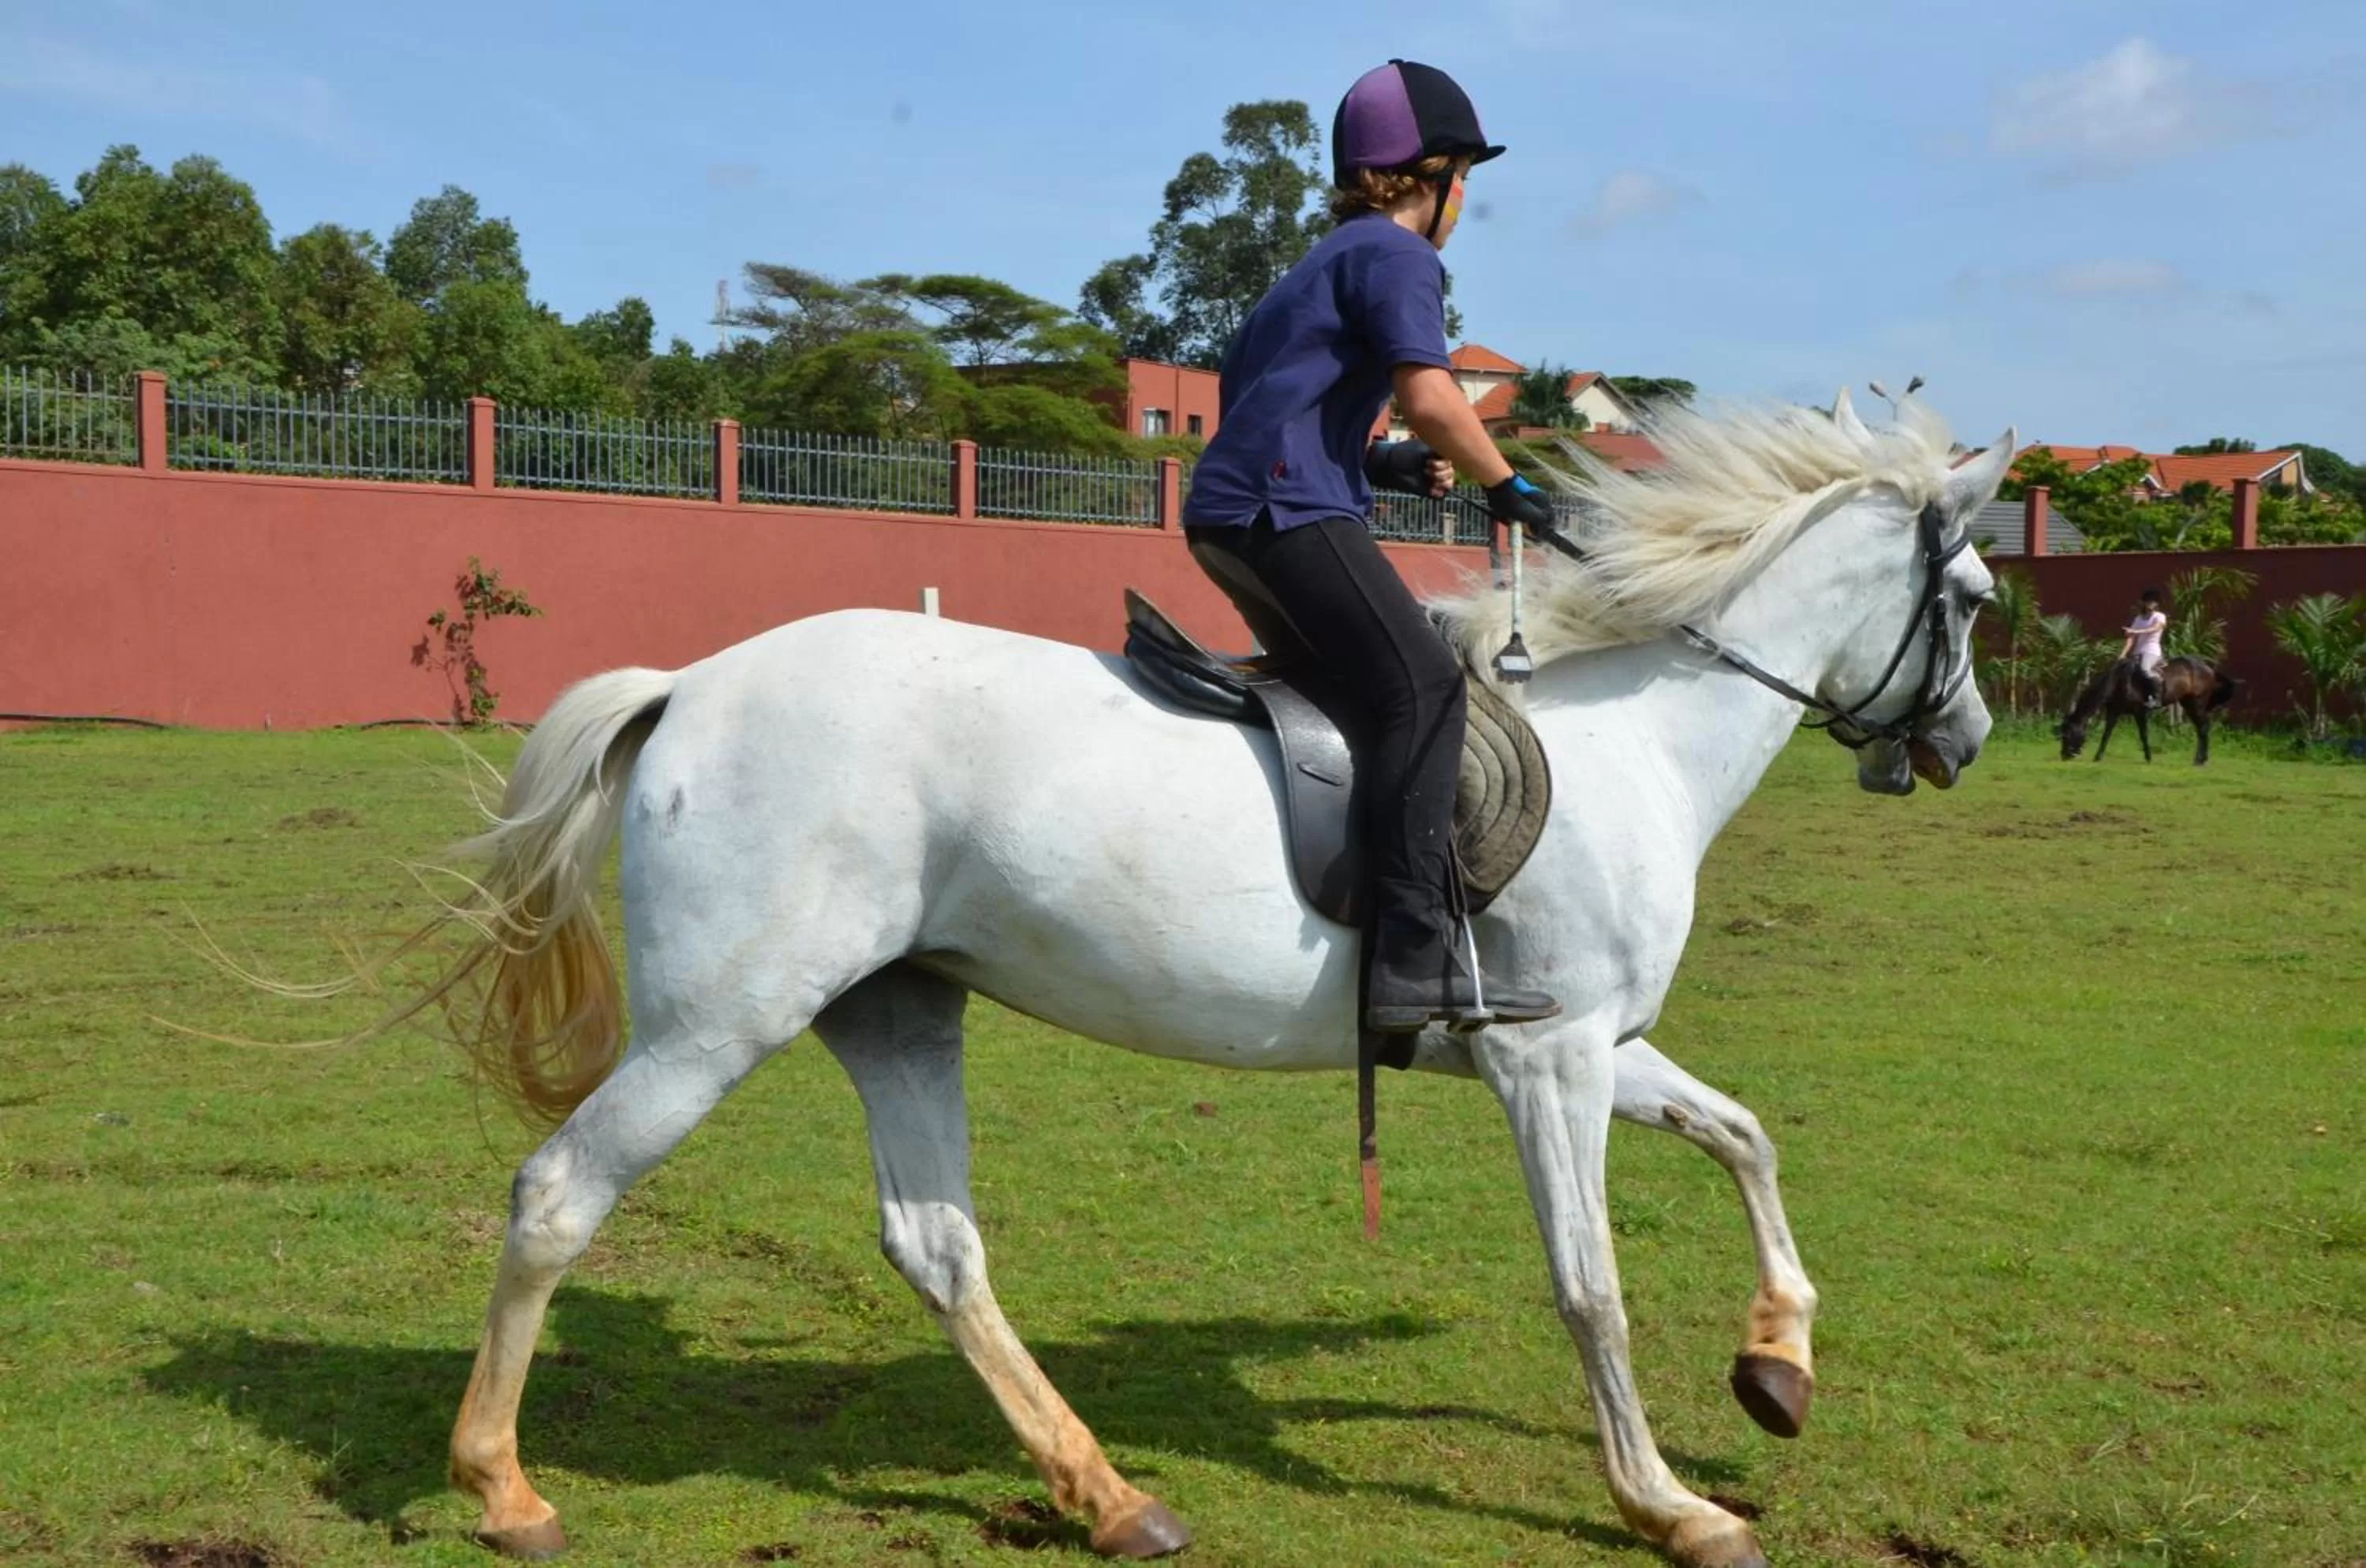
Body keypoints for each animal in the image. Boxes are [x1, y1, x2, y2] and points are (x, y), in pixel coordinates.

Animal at [378, 392, 2007, 1568]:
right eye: (1980, 597)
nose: (1968, 741)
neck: (1633, 732)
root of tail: (690, 686)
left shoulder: (1582, 1037)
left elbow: (1746, 1135)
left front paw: (1777, 1366)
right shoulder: (1551, 1059)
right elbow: (1590, 1284)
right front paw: (1670, 1502)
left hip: (897, 1008)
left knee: (938, 1245)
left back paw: (1108, 1493)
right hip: (722, 1021)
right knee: (560, 1194)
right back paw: (503, 1486)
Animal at [2059, 654, 2240, 765]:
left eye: (2068, 735)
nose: (2065, 755)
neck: (2119, 681)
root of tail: (2208, 668)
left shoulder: (2140, 712)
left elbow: (2143, 734)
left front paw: (2149, 757)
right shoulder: (2114, 712)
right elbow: (2106, 735)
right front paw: (2098, 757)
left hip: (2197, 703)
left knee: (2203, 728)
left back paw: (2200, 760)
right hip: (2188, 703)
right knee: (2201, 728)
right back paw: (2201, 759)